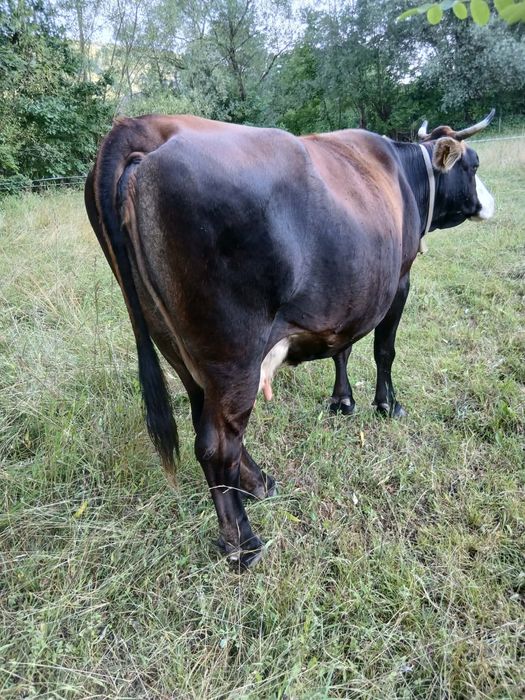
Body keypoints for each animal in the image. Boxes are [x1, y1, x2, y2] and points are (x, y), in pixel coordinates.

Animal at [85, 110, 495, 569]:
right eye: (473, 164)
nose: (489, 203)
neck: (405, 175)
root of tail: (146, 125)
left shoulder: (347, 296)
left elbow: (343, 349)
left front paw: (342, 400)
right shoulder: (399, 281)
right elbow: (383, 350)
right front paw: (387, 405)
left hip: (176, 345)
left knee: (203, 418)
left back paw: (259, 482)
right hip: (234, 353)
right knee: (216, 446)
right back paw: (243, 542)